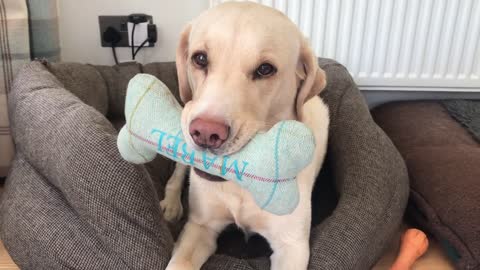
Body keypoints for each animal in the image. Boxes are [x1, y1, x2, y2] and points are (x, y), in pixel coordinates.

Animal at [161, 2, 330, 270]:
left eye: (265, 69)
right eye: (200, 58)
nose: (206, 132)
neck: (241, 185)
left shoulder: (292, 246)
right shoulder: (200, 226)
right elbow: (179, 263)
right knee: (177, 172)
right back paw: (170, 203)